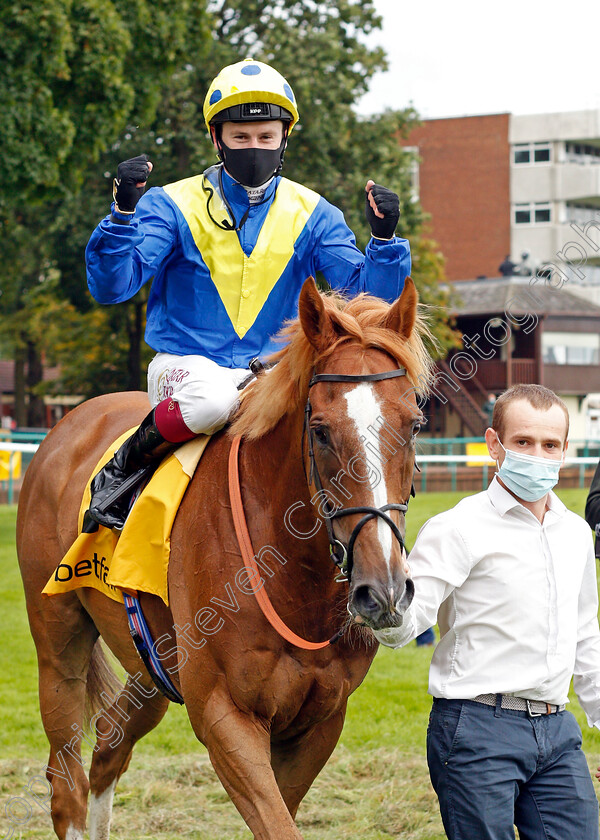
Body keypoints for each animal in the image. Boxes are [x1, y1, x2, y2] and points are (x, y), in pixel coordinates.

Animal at [16, 278, 432, 840]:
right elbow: (276, 823)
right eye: (320, 430)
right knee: (66, 784)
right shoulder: (225, 714)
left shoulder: (320, 721)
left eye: (414, 425)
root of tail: (71, 422)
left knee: (110, 740)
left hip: (153, 664)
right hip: (59, 642)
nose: (383, 592)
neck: (293, 574)